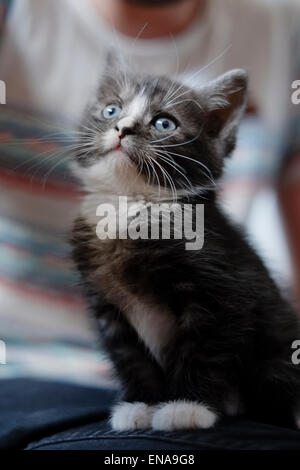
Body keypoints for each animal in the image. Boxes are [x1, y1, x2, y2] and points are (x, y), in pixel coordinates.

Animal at [71, 60, 300, 432]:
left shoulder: (225, 290)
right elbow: (129, 356)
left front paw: (188, 407)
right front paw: (140, 405)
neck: (130, 207)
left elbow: (206, 348)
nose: (122, 129)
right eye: (111, 110)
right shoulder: (106, 306)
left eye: (164, 123)